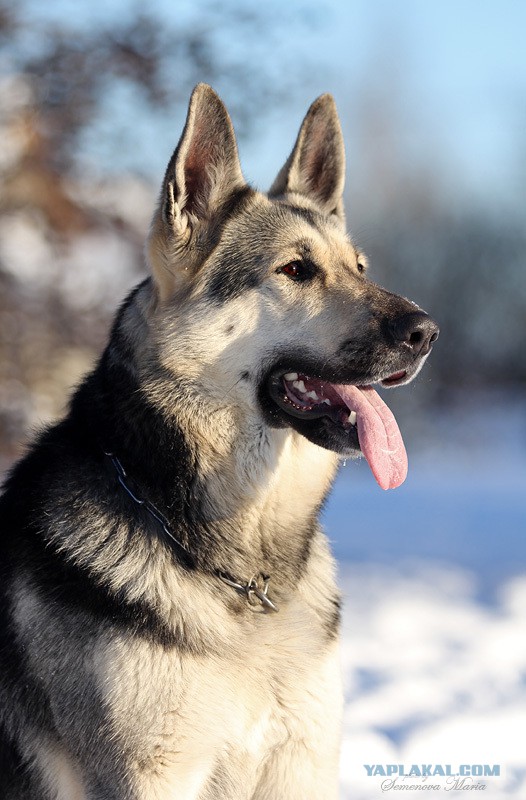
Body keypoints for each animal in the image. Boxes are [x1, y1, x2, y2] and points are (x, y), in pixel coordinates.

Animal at [0, 86, 440, 800]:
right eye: (296, 270)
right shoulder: (150, 777)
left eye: (359, 268)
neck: (241, 572)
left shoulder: (299, 766)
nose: (427, 332)